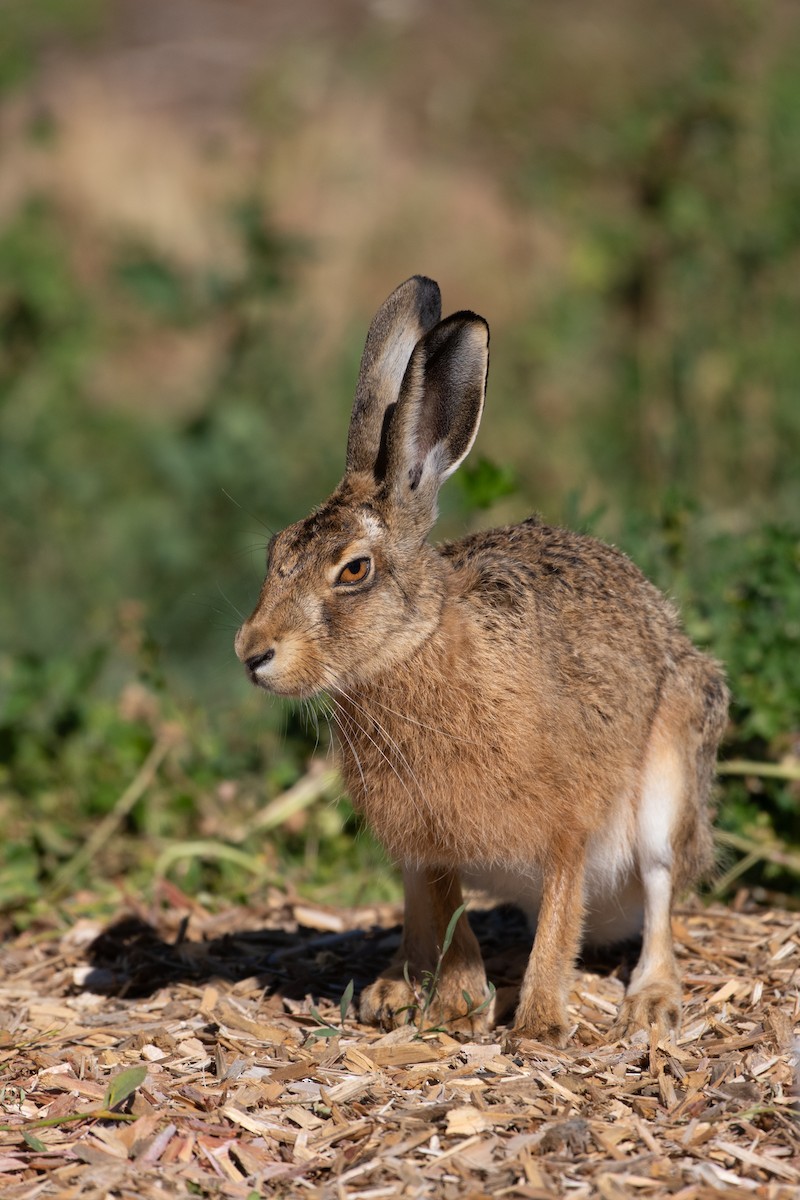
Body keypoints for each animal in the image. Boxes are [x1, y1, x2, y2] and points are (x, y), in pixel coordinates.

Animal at [235, 275, 729, 1045]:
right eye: (277, 551)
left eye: (354, 570)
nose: (253, 653)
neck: (415, 646)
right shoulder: (428, 838)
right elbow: (450, 911)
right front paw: (459, 1007)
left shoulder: (567, 824)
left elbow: (558, 918)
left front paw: (538, 1025)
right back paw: (391, 991)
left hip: (671, 780)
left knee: (658, 890)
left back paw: (650, 1001)